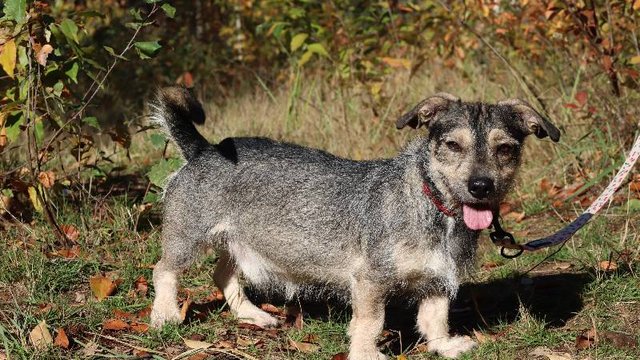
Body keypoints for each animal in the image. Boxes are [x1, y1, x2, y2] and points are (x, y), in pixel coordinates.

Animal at [148, 88, 556, 360]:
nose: (481, 186)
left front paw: (444, 346)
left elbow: (435, 318)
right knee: (163, 270)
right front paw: (366, 354)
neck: (433, 207)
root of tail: (204, 149)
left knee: (222, 275)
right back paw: (164, 315)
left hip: (239, 243)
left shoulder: (438, 280)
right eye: (453, 145)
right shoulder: (371, 282)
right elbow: (370, 323)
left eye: (505, 148)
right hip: (188, 238)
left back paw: (253, 315)